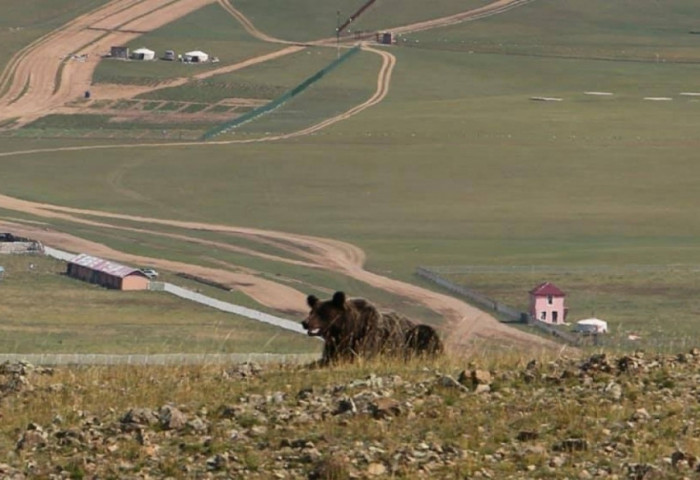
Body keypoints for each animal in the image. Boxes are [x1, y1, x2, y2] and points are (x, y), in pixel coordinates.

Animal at [300, 292, 442, 364]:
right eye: (312, 311)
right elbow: (327, 358)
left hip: (418, 335)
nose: (304, 322)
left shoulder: (369, 339)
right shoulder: (335, 345)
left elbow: (361, 355)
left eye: (322, 312)